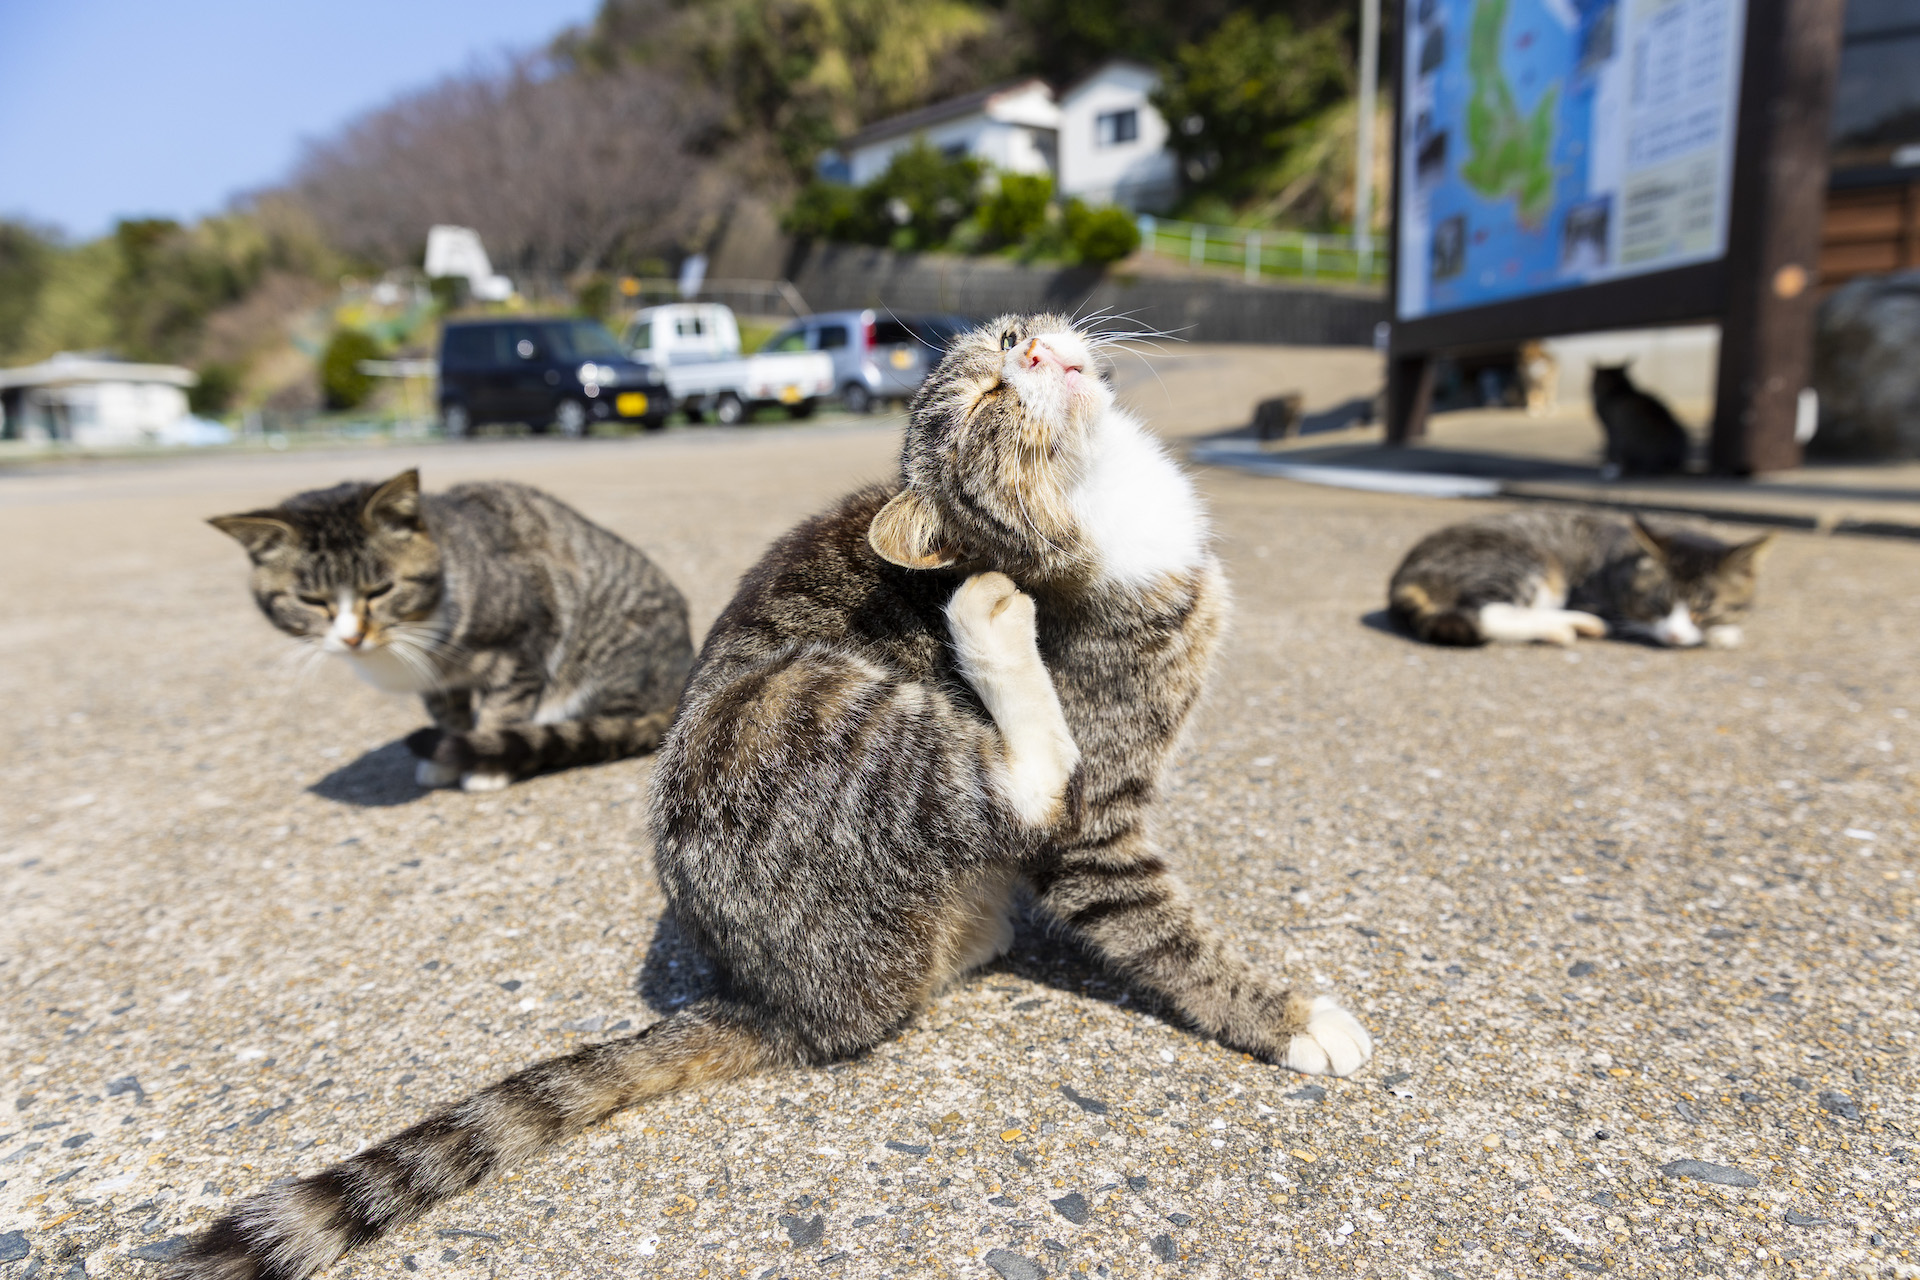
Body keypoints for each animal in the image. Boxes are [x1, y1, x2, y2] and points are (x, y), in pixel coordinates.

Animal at [212, 470, 691, 790]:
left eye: (380, 590)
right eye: (311, 600)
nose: (352, 637)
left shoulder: (523, 649)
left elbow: (502, 709)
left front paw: (485, 765)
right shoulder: (436, 682)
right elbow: (448, 715)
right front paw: (447, 758)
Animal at [1390, 506, 1774, 652]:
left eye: (1703, 608)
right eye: (1657, 604)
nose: (1676, 636)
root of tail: (1403, 573)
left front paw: (1723, 629)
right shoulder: (1597, 599)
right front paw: (1720, 635)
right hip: (1518, 562)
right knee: (1486, 612)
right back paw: (1568, 626)